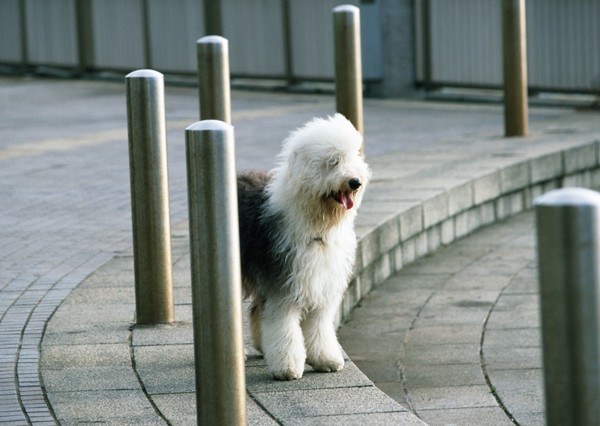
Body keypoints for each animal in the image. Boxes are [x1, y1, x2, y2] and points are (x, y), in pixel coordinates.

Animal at [238, 113, 370, 380]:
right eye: (333, 161)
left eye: (354, 157)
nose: (355, 182)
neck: (317, 223)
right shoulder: (283, 285)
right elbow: (284, 327)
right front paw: (287, 367)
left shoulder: (321, 281)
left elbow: (319, 326)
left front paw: (326, 359)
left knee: (256, 309)